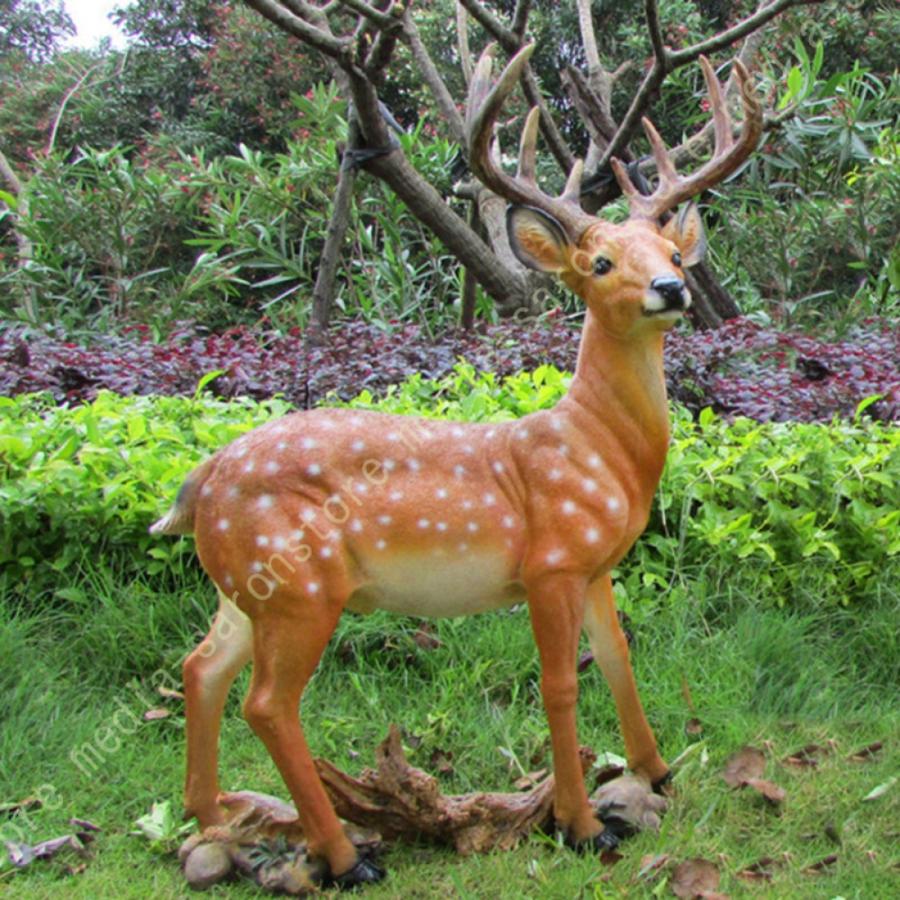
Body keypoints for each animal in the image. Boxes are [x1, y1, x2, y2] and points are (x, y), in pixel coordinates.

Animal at [151, 44, 761, 888]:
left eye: (673, 253)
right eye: (601, 262)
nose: (672, 287)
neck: (598, 450)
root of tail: (199, 482)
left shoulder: (596, 564)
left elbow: (618, 659)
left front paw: (659, 771)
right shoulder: (550, 561)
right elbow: (560, 684)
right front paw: (580, 825)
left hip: (248, 585)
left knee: (200, 666)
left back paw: (214, 815)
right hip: (302, 583)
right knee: (267, 703)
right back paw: (345, 856)